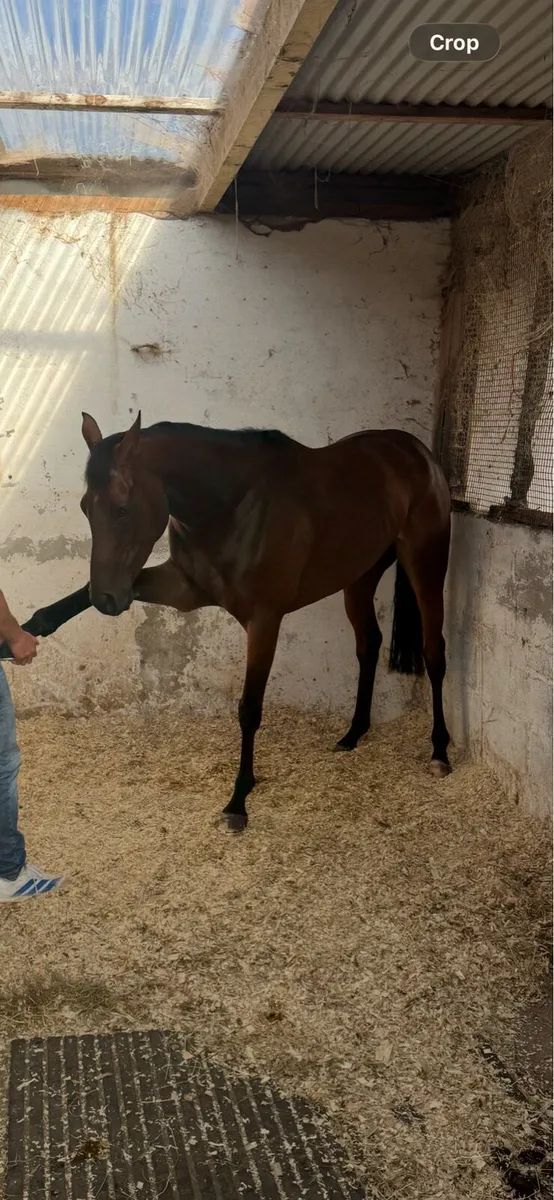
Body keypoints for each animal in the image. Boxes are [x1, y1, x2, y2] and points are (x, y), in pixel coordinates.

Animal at [0, 413, 452, 830]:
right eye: (85, 508)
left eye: (122, 508)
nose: (108, 599)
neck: (233, 506)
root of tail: (415, 450)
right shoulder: (183, 589)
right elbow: (64, 604)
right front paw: (18, 638)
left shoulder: (265, 619)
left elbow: (249, 708)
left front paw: (238, 800)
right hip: (359, 577)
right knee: (369, 645)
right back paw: (354, 733)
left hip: (425, 565)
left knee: (434, 651)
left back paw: (440, 750)